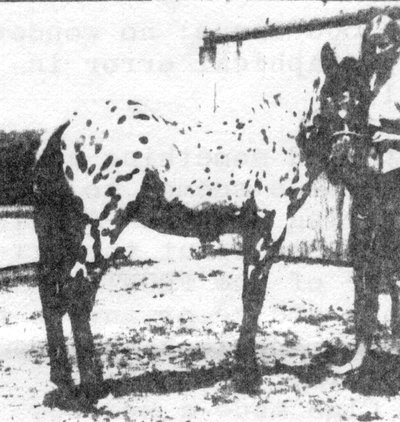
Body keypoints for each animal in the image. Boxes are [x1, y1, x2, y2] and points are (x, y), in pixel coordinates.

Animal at [34, 42, 364, 406]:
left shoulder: (251, 232)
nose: (346, 154)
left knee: (50, 291)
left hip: (59, 234)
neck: (284, 136)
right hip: (102, 228)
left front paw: (242, 370)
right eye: (330, 94)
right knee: (78, 293)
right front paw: (248, 378)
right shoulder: (270, 228)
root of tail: (65, 127)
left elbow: (249, 297)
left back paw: (63, 380)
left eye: (365, 96)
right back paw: (94, 389)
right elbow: (255, 297)